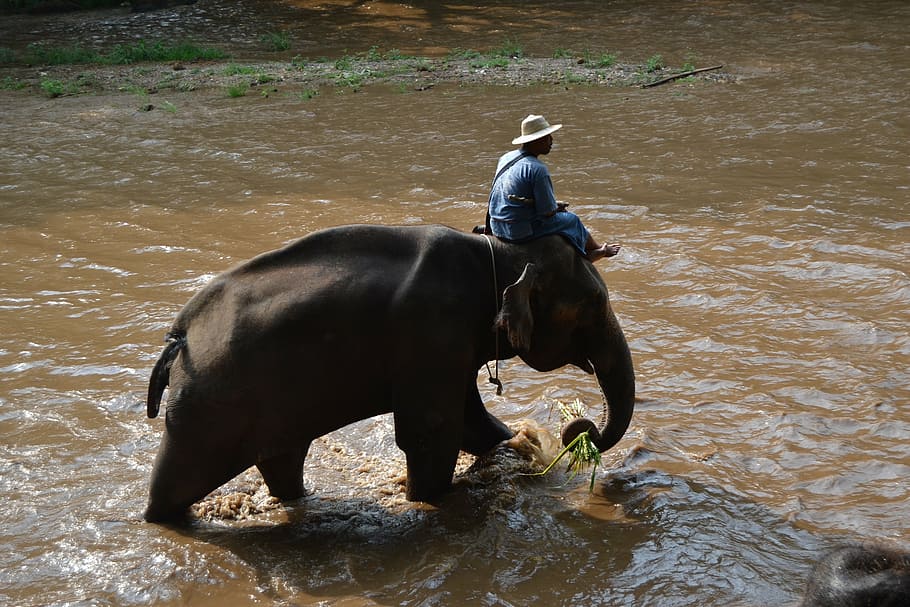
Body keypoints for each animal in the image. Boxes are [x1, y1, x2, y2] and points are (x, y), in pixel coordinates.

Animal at [142, 224, 635, 523]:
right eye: (594, 304)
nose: (581, 429)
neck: (494, 253)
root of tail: (178, 337)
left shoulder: (450, 348)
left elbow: (474, 425)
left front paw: (517, 446)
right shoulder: (433, 334)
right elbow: (432, 434)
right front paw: (428, 501)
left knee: (281, 460)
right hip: (206, 409)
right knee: (175, 483)